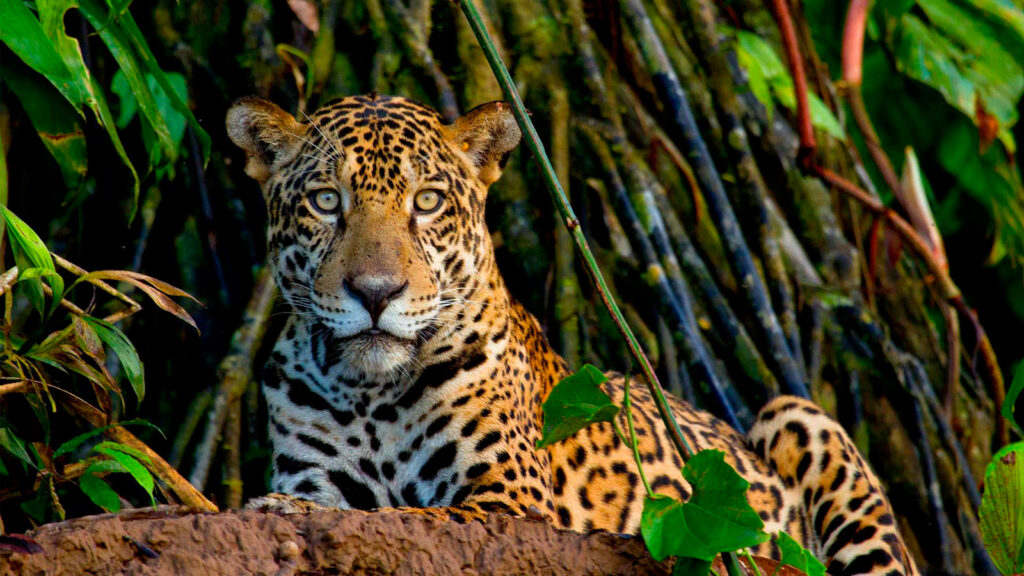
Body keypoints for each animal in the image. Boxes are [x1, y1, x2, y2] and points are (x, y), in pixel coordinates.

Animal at [226, 93, 920, 576]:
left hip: (799, 416)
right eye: (325, 201)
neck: (369, 392)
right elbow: (347, 508)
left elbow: (405, 515)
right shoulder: (318, 471)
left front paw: (286, 512)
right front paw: (290, 510)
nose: (375, 293)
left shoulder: (505, 502)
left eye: (426, 202)